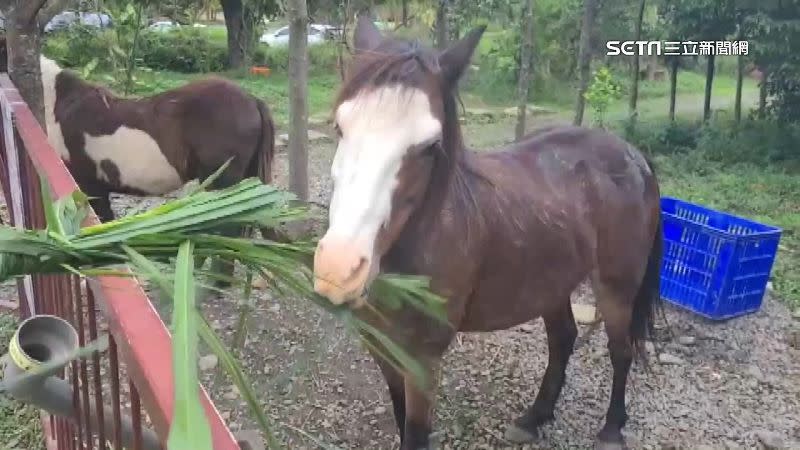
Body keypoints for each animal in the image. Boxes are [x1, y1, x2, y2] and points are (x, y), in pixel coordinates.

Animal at [310, 17, 664, 450]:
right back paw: (535, 417)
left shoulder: (423, 363)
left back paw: (612, 429)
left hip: (616, 287)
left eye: (430, 147)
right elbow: (399, 417)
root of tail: (633, 154)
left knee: (620, 349)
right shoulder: (383, 349)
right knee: (563, 339)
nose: (338, 270)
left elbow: (416, 432)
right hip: (551, 281)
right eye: (340, 127)